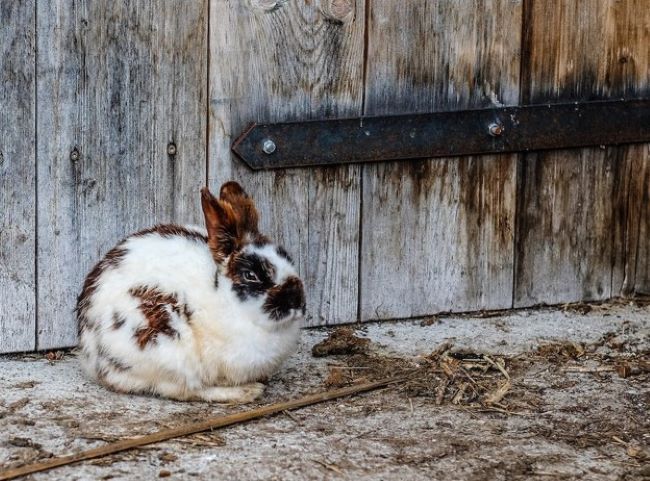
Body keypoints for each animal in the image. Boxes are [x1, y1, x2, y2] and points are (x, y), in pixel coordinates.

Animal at [76, 180, 306, 402]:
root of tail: (92, 356)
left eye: (288, 258)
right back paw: (247, 392)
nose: (297, 301)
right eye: (251, 275)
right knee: (187, 390)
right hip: (167, 347)